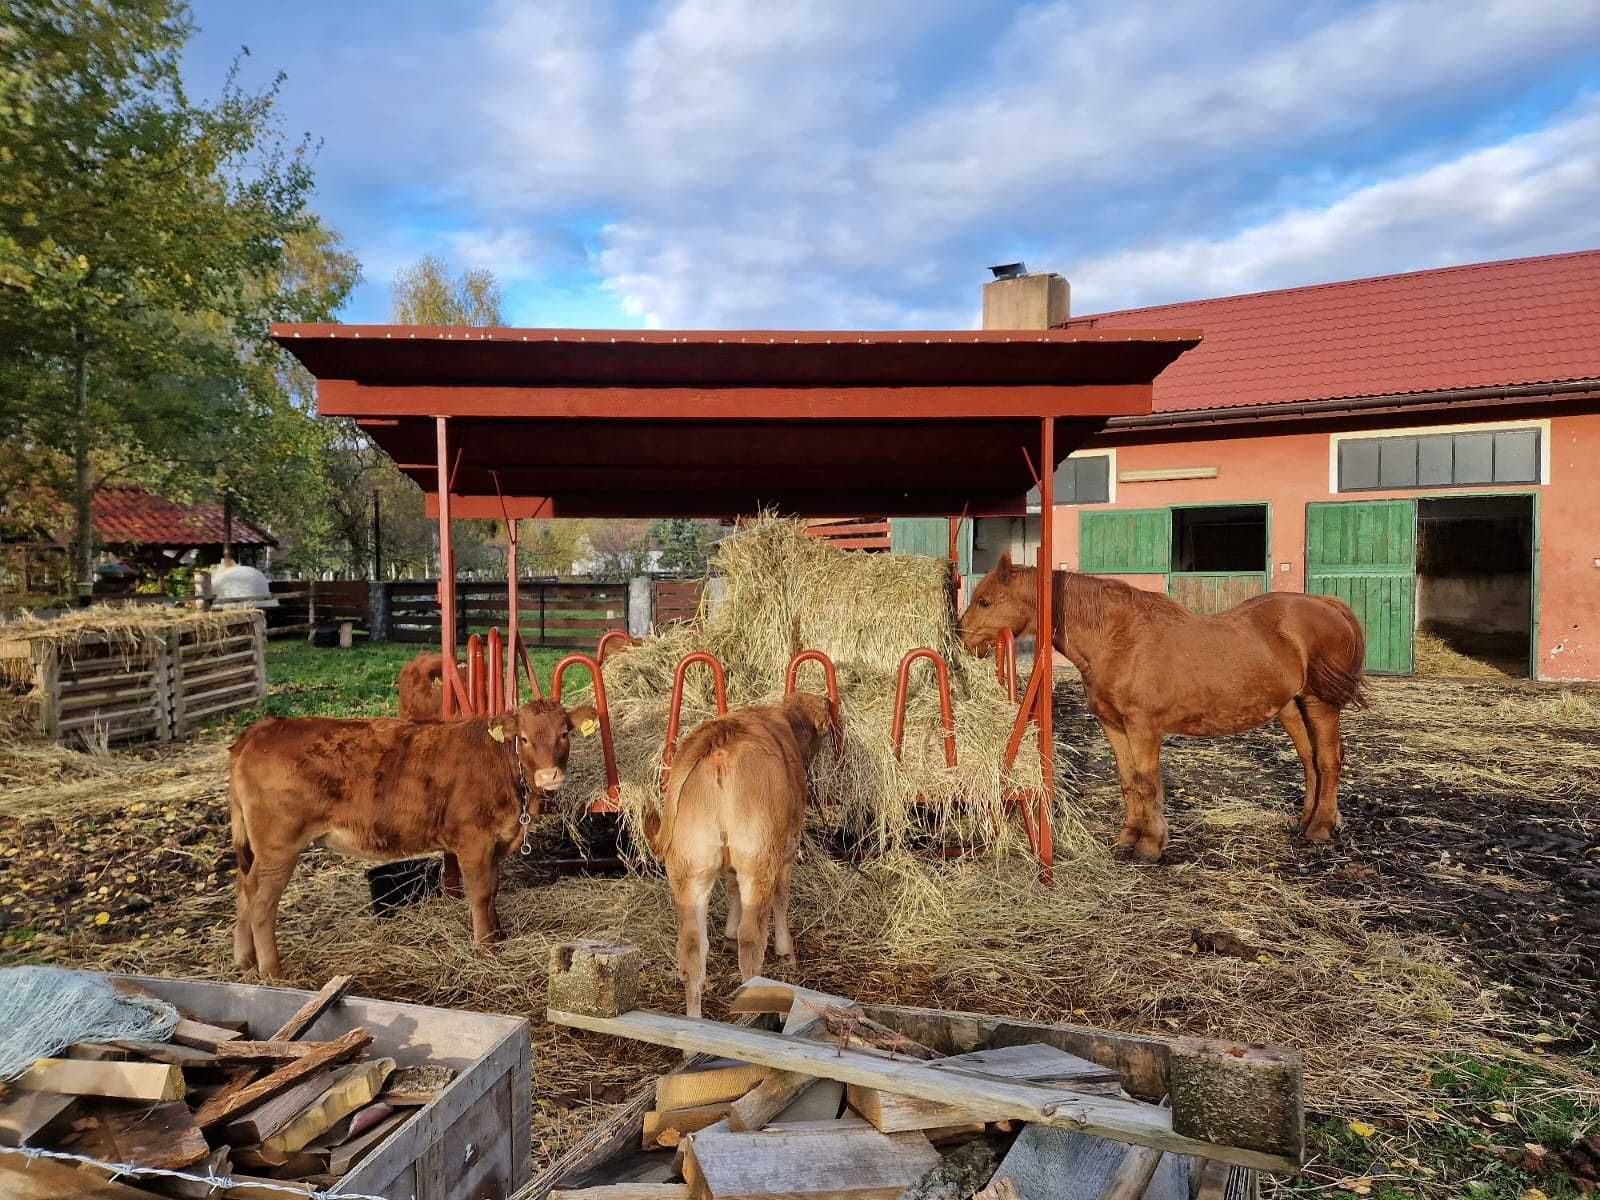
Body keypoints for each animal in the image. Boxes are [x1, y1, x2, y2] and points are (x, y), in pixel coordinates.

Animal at [643, 691, 832, 1017]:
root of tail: (717, 746)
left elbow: (731, 887)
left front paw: (728, 934)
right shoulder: (787, 849)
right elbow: (782, 898)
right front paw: (786, 953)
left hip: (690, 871)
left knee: (692, 947)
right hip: (758, 861)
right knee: (751, 941)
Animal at [953, 556, 1369, 864]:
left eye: (985, 601)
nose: (959, 639)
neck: (1119, 638)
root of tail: (1327, 605)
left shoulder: (1144, 727)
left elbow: (1146, 782)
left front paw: (1151, 844)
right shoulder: (1113, 725)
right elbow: (1128, 782)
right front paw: (1127, 838)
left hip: (1320, 703)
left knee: (1328, 760)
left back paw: (1320, 828)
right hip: (1291, 707)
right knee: (1310, 760)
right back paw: (1307, 821)